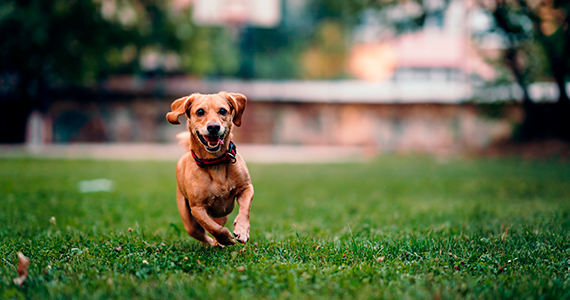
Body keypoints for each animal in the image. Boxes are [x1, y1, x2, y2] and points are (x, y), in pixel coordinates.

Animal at [164, 91, 253, 246]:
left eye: (223, 111)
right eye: (200, 112)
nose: (213, 127)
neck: (215, 162)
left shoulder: (247, 188)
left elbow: (245, 209)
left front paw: (242, 230)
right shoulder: (197, 208)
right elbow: (213, 228)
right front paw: (226, 238)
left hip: (221, 216)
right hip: (188, 221)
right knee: (201, 233)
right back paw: (214, 243)